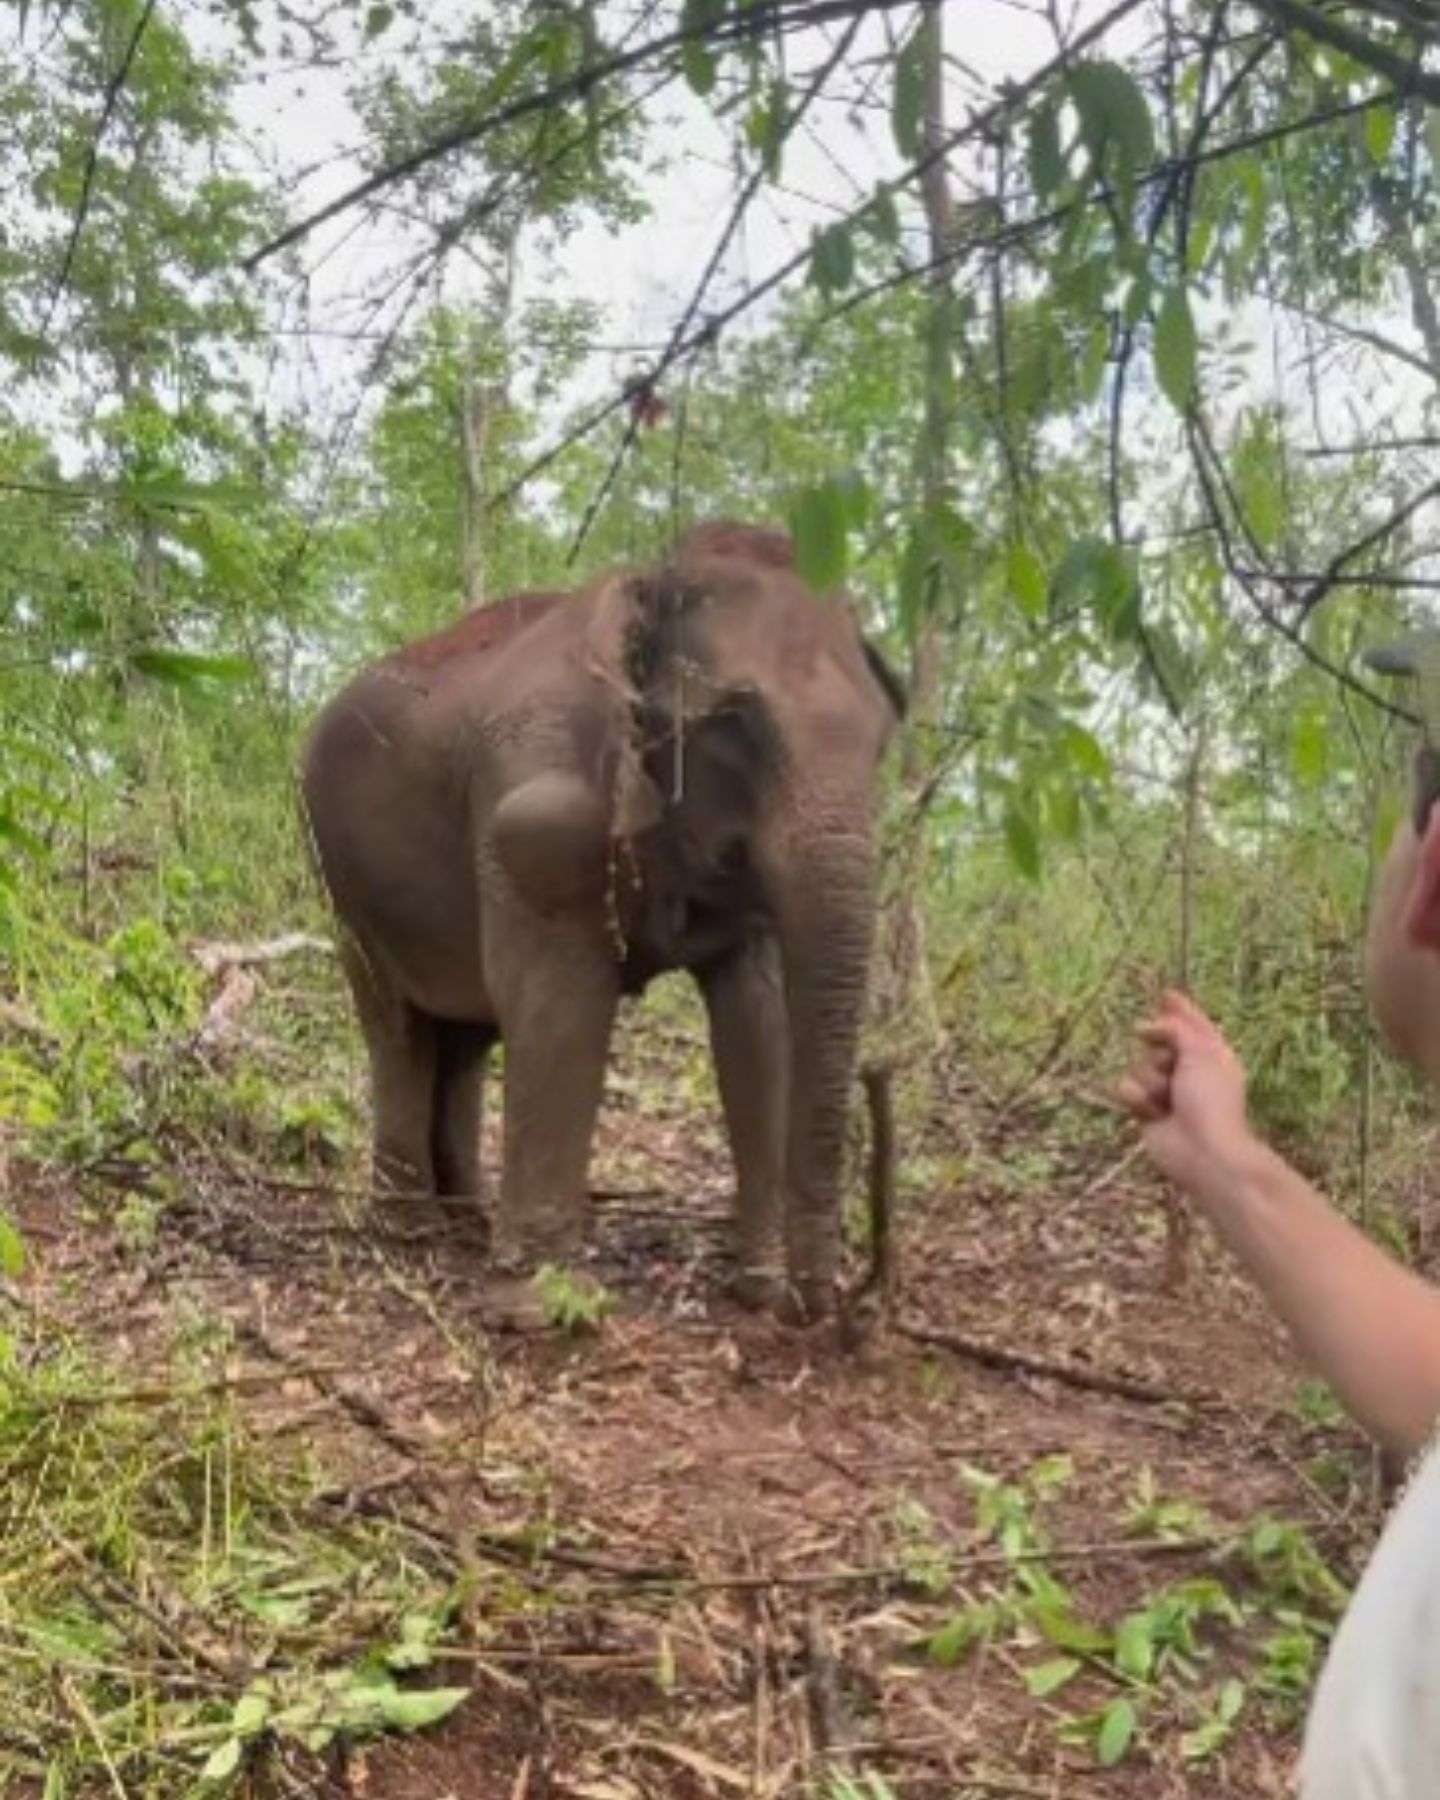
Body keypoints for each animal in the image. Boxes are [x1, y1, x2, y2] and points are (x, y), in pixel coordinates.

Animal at [302, 522, 907, 1324]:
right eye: (733, 722)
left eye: (883, 741)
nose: (821, 1310)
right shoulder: (536, 805)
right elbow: (562, 996)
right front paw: (538, 1308)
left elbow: (756, 1017)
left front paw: (755, 1287)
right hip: (342, 881)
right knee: (398, 1025)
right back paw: (412, 1231)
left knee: (465, 1035)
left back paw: (469, 1220)